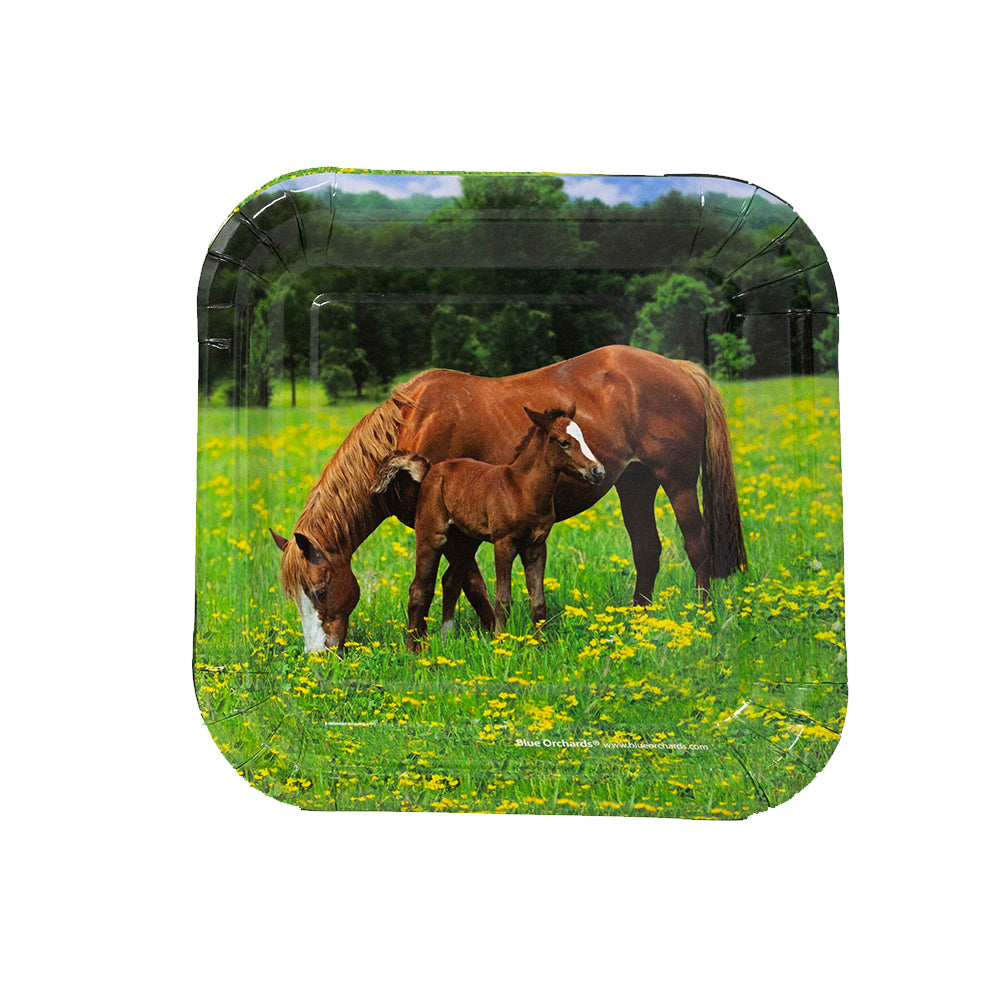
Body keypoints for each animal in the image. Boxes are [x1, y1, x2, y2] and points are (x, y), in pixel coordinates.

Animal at [372, 405, 606, 650]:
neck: (523, 489)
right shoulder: (504, 543)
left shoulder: (536, 546)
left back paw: (446, 640)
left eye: (583, 436)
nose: (597, 471)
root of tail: (430, 470)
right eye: (563, 442)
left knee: (450, 582)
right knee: (419, 588)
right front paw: (500, 643)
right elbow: (503, 598)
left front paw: (540, 645)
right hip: (432, 534)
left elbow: (538, 601)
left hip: (464, 542)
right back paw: (414, 649)